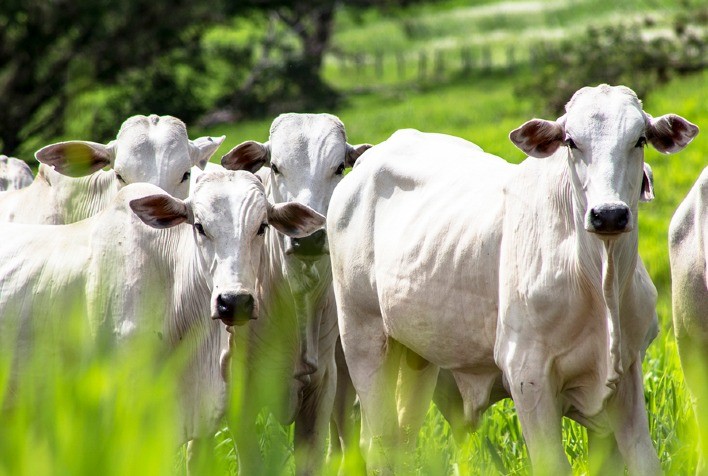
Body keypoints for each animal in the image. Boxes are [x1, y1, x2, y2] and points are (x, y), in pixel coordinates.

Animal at [328, 85, 698, 475]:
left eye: (639, 139)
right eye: (571, 141)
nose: (609, 214)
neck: (600, 279)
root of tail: (368, 161)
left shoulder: (626, 373)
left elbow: (644, 459)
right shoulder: (528, 376)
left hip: (416, 353)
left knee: (400, 439)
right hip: (363, 338)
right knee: (380, 442)